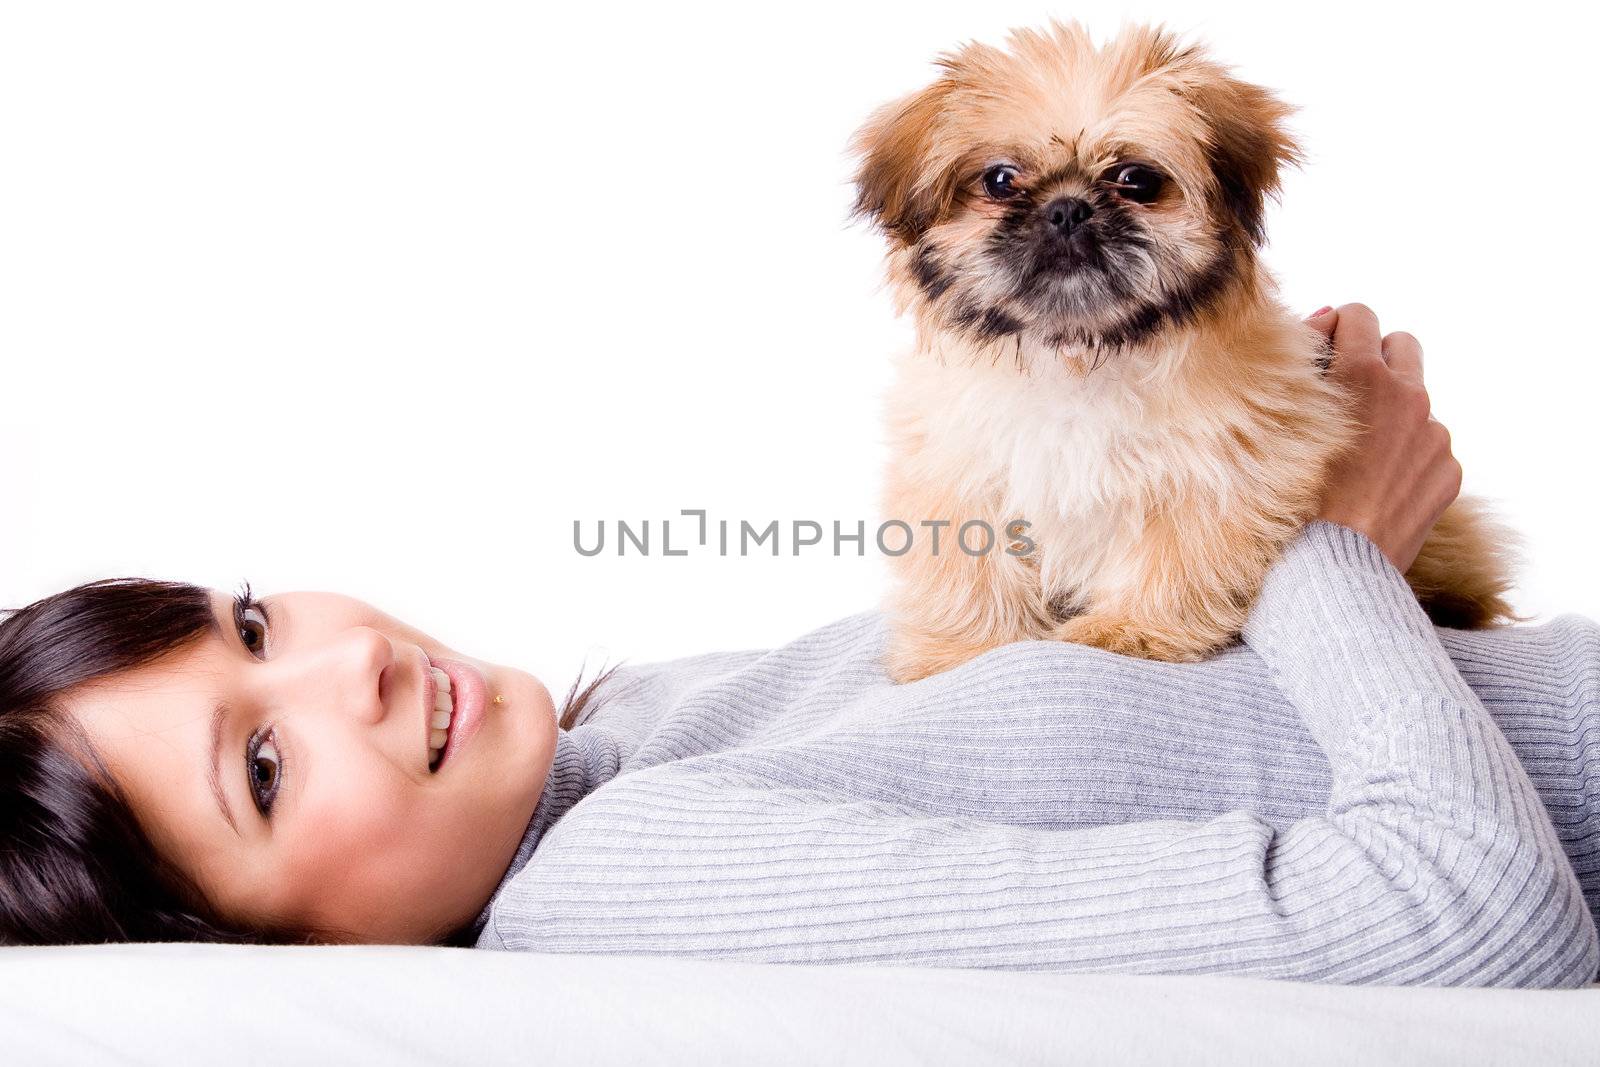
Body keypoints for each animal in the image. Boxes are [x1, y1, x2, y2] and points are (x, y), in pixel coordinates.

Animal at [851, 20, 1510, 684]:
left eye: (1136, 180)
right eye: (1000, 180)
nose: (1067, 209)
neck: (1079, 361)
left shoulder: (1228, 465)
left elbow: (1178, 550)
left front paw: (1131, 631)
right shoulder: (956, 475)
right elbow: (969, 569)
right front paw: (965, 652)